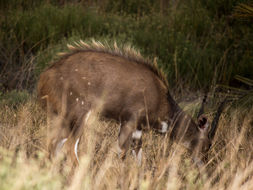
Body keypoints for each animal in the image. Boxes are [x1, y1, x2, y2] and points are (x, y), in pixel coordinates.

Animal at [37, 39, 223, 166]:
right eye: (208, 144)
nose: (205, 163)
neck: (162, 101)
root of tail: (45, 77)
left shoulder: (138, 130)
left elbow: (138, 159)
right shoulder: (129, 121)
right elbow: (121, 152)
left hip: (63, 118)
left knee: (53, 146)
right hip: (80, 115)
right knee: (68, 147)